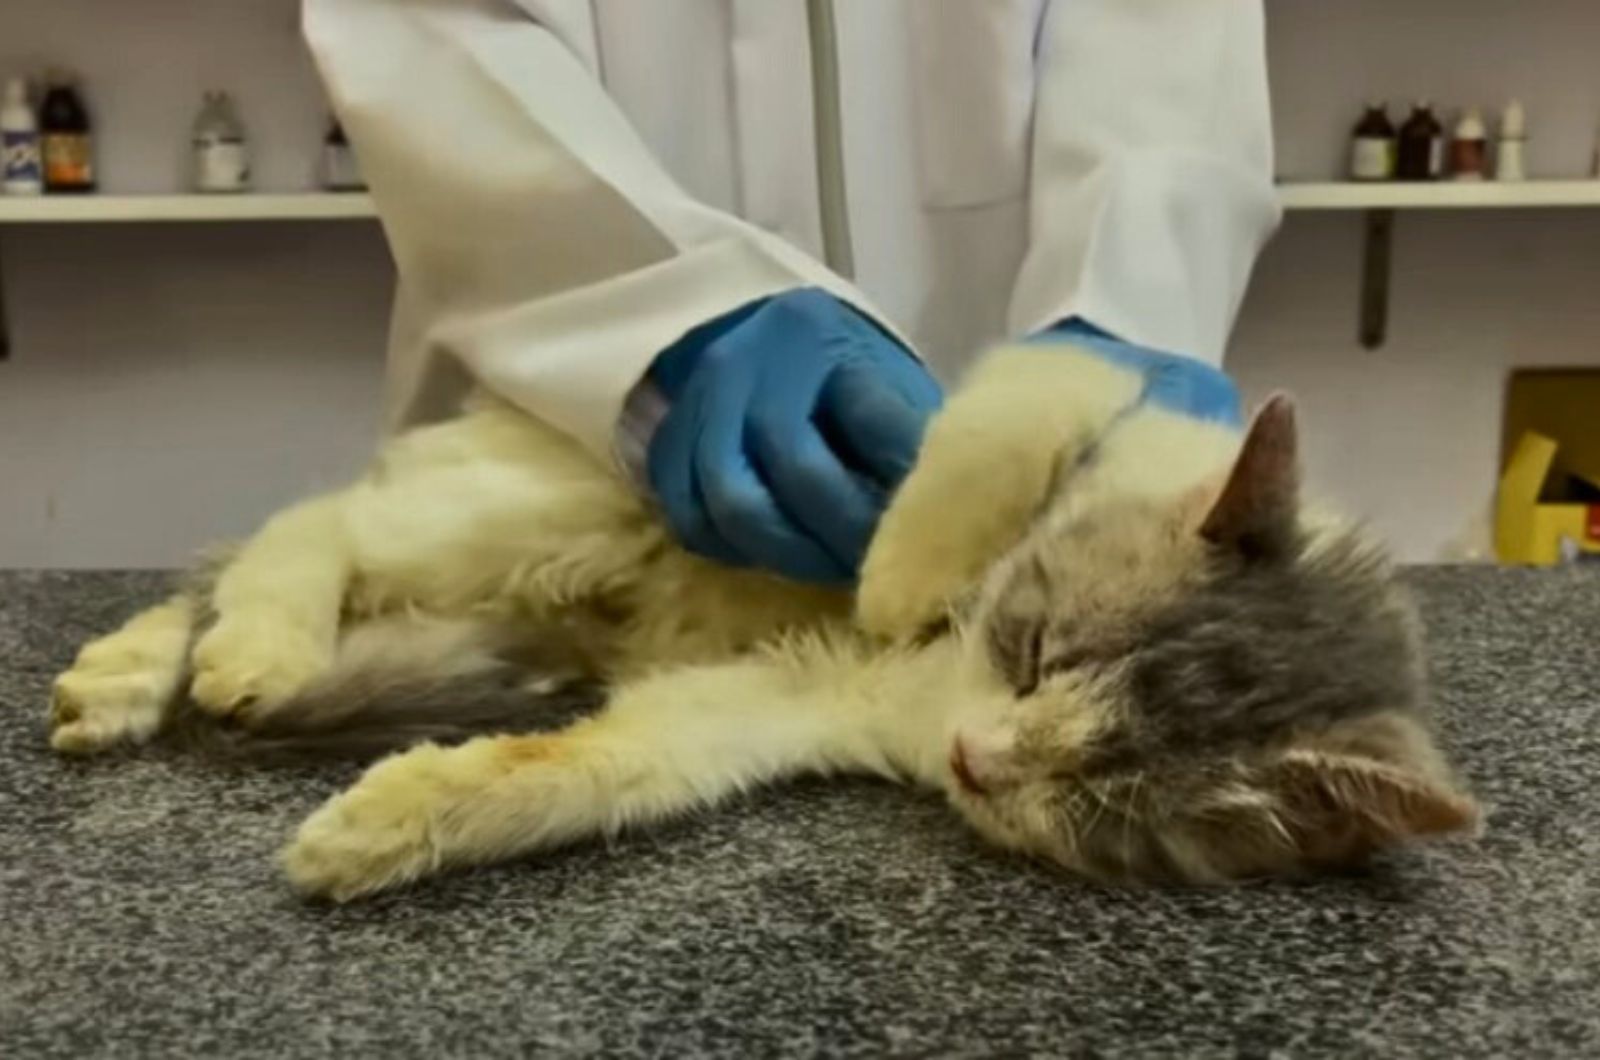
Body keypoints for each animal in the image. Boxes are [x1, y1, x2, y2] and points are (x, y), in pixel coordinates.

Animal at [46, 344, 1472, 903]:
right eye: (1034, 651)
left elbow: (592, 767)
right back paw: (238, 651)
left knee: (256, 563)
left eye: (1101, 792)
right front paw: (901, 575)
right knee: (298, 527)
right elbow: (997, 428)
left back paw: (133, 677)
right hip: (543, 512)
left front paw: (395, 819)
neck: (930, 696)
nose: (978, 761)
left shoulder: (776, 700)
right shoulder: (1059, 384)